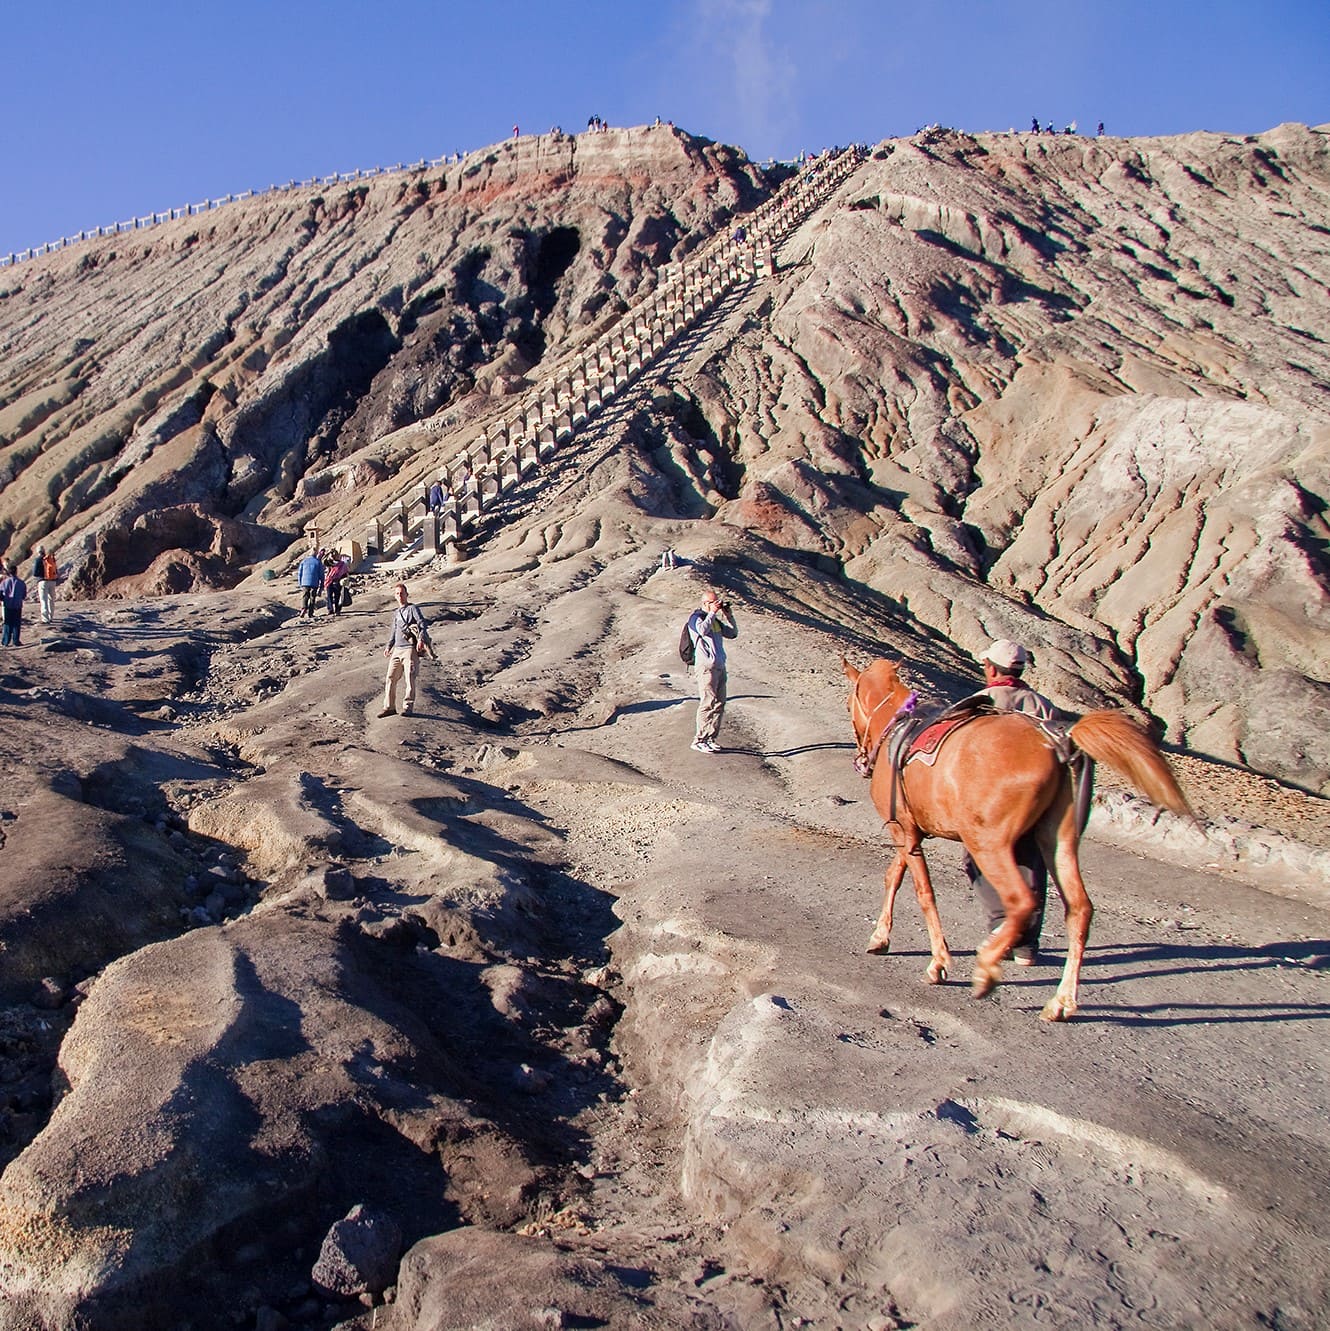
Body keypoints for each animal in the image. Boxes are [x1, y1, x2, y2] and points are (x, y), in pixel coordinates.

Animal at [846, 654, 1192, 1016]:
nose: (861, 758)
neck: (896, 727)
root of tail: (1058, 743)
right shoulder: (910, 830)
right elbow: (894, 876)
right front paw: (880, 938)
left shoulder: (904, 829)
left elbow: (923, 891)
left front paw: (938, 962)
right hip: (1057, 840)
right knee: (1079, 909)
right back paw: (1060, 1001)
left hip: (988, 844)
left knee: (1021, 900)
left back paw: (987, 968)